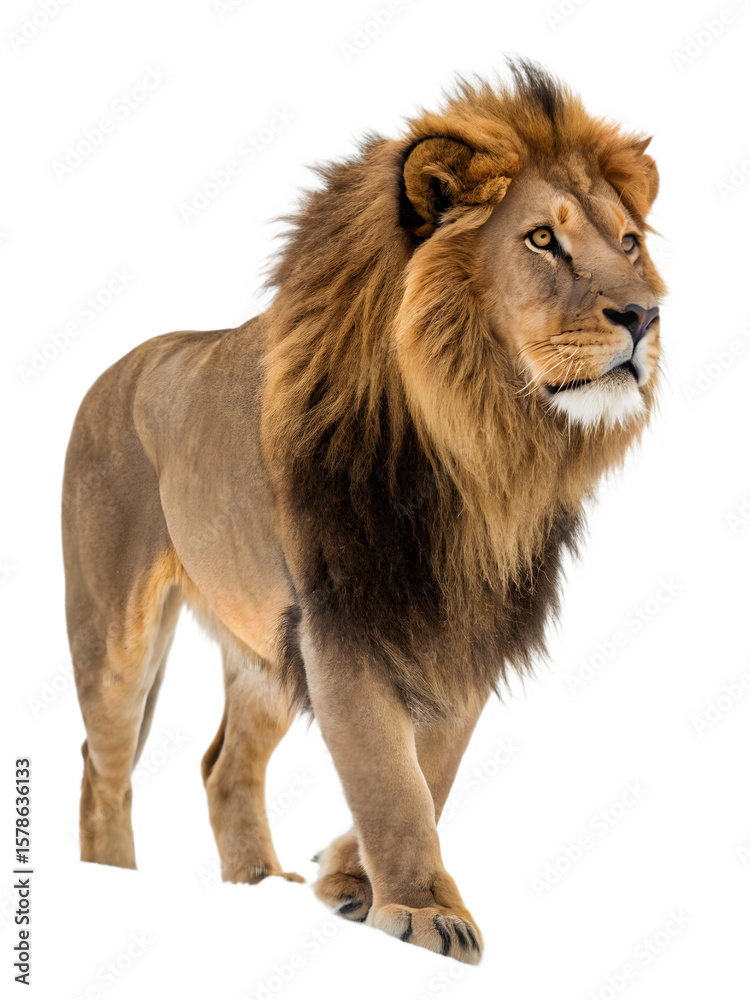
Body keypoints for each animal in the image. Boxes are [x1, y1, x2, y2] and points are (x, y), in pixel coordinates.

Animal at [62, 60, 665, 964]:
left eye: (628, 242)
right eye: (540, 239)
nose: (644, 315)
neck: (483, 445)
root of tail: (113, 368)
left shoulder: (465, 620)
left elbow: (433, 767)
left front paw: (348, 878)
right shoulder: (340, 614)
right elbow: (388, 774)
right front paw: (420, 911)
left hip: (259, 645)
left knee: (223, 767)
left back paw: (254, 888)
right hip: (111, 627)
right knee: (103, 768)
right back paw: (111, 887)